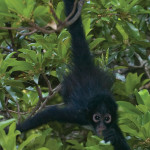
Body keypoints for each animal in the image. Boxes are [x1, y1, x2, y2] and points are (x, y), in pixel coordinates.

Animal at [15, 0, 130, 149]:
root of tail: (86, 67)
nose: (102, 127)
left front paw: (113, 137)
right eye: (97, 117)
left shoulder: (113, 124)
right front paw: (14, 129)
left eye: (107, 118)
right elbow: (49, 114)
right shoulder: (77, 115)